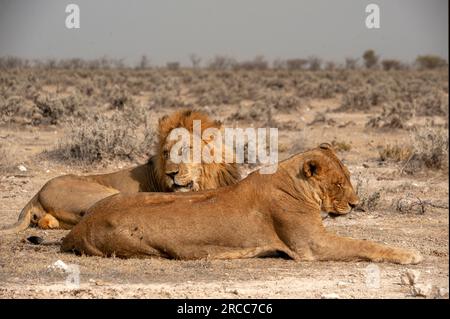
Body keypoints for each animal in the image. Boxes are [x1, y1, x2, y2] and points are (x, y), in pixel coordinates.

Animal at [60, 143, 422, 264]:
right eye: (339, 183)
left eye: (347, 178)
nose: (356, 204)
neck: (292, 180)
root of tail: (78, 228)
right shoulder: (312, 246)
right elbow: (365, 243)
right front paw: (410, 254)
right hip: (143, 246)